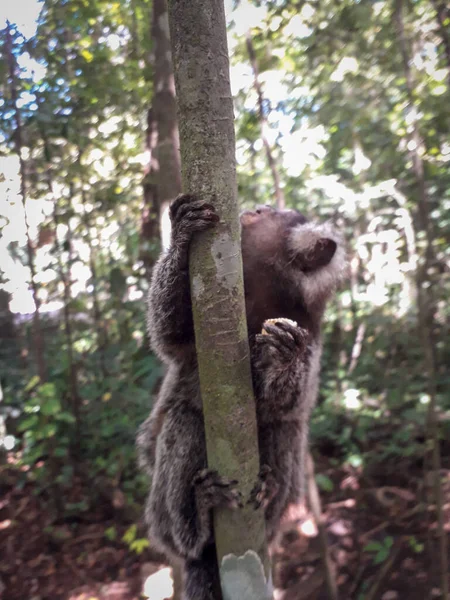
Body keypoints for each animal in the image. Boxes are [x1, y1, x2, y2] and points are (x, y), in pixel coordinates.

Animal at [135, 195, 346, 596]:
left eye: (267, 214)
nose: (254, 208)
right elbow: (169, 335)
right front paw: (181, 236)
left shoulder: (308, 330)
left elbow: (287, 401)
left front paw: (283, 355)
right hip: (158, 516)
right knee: (183, 420)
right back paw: (196, 521)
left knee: (286, 428)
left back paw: (267, 496)